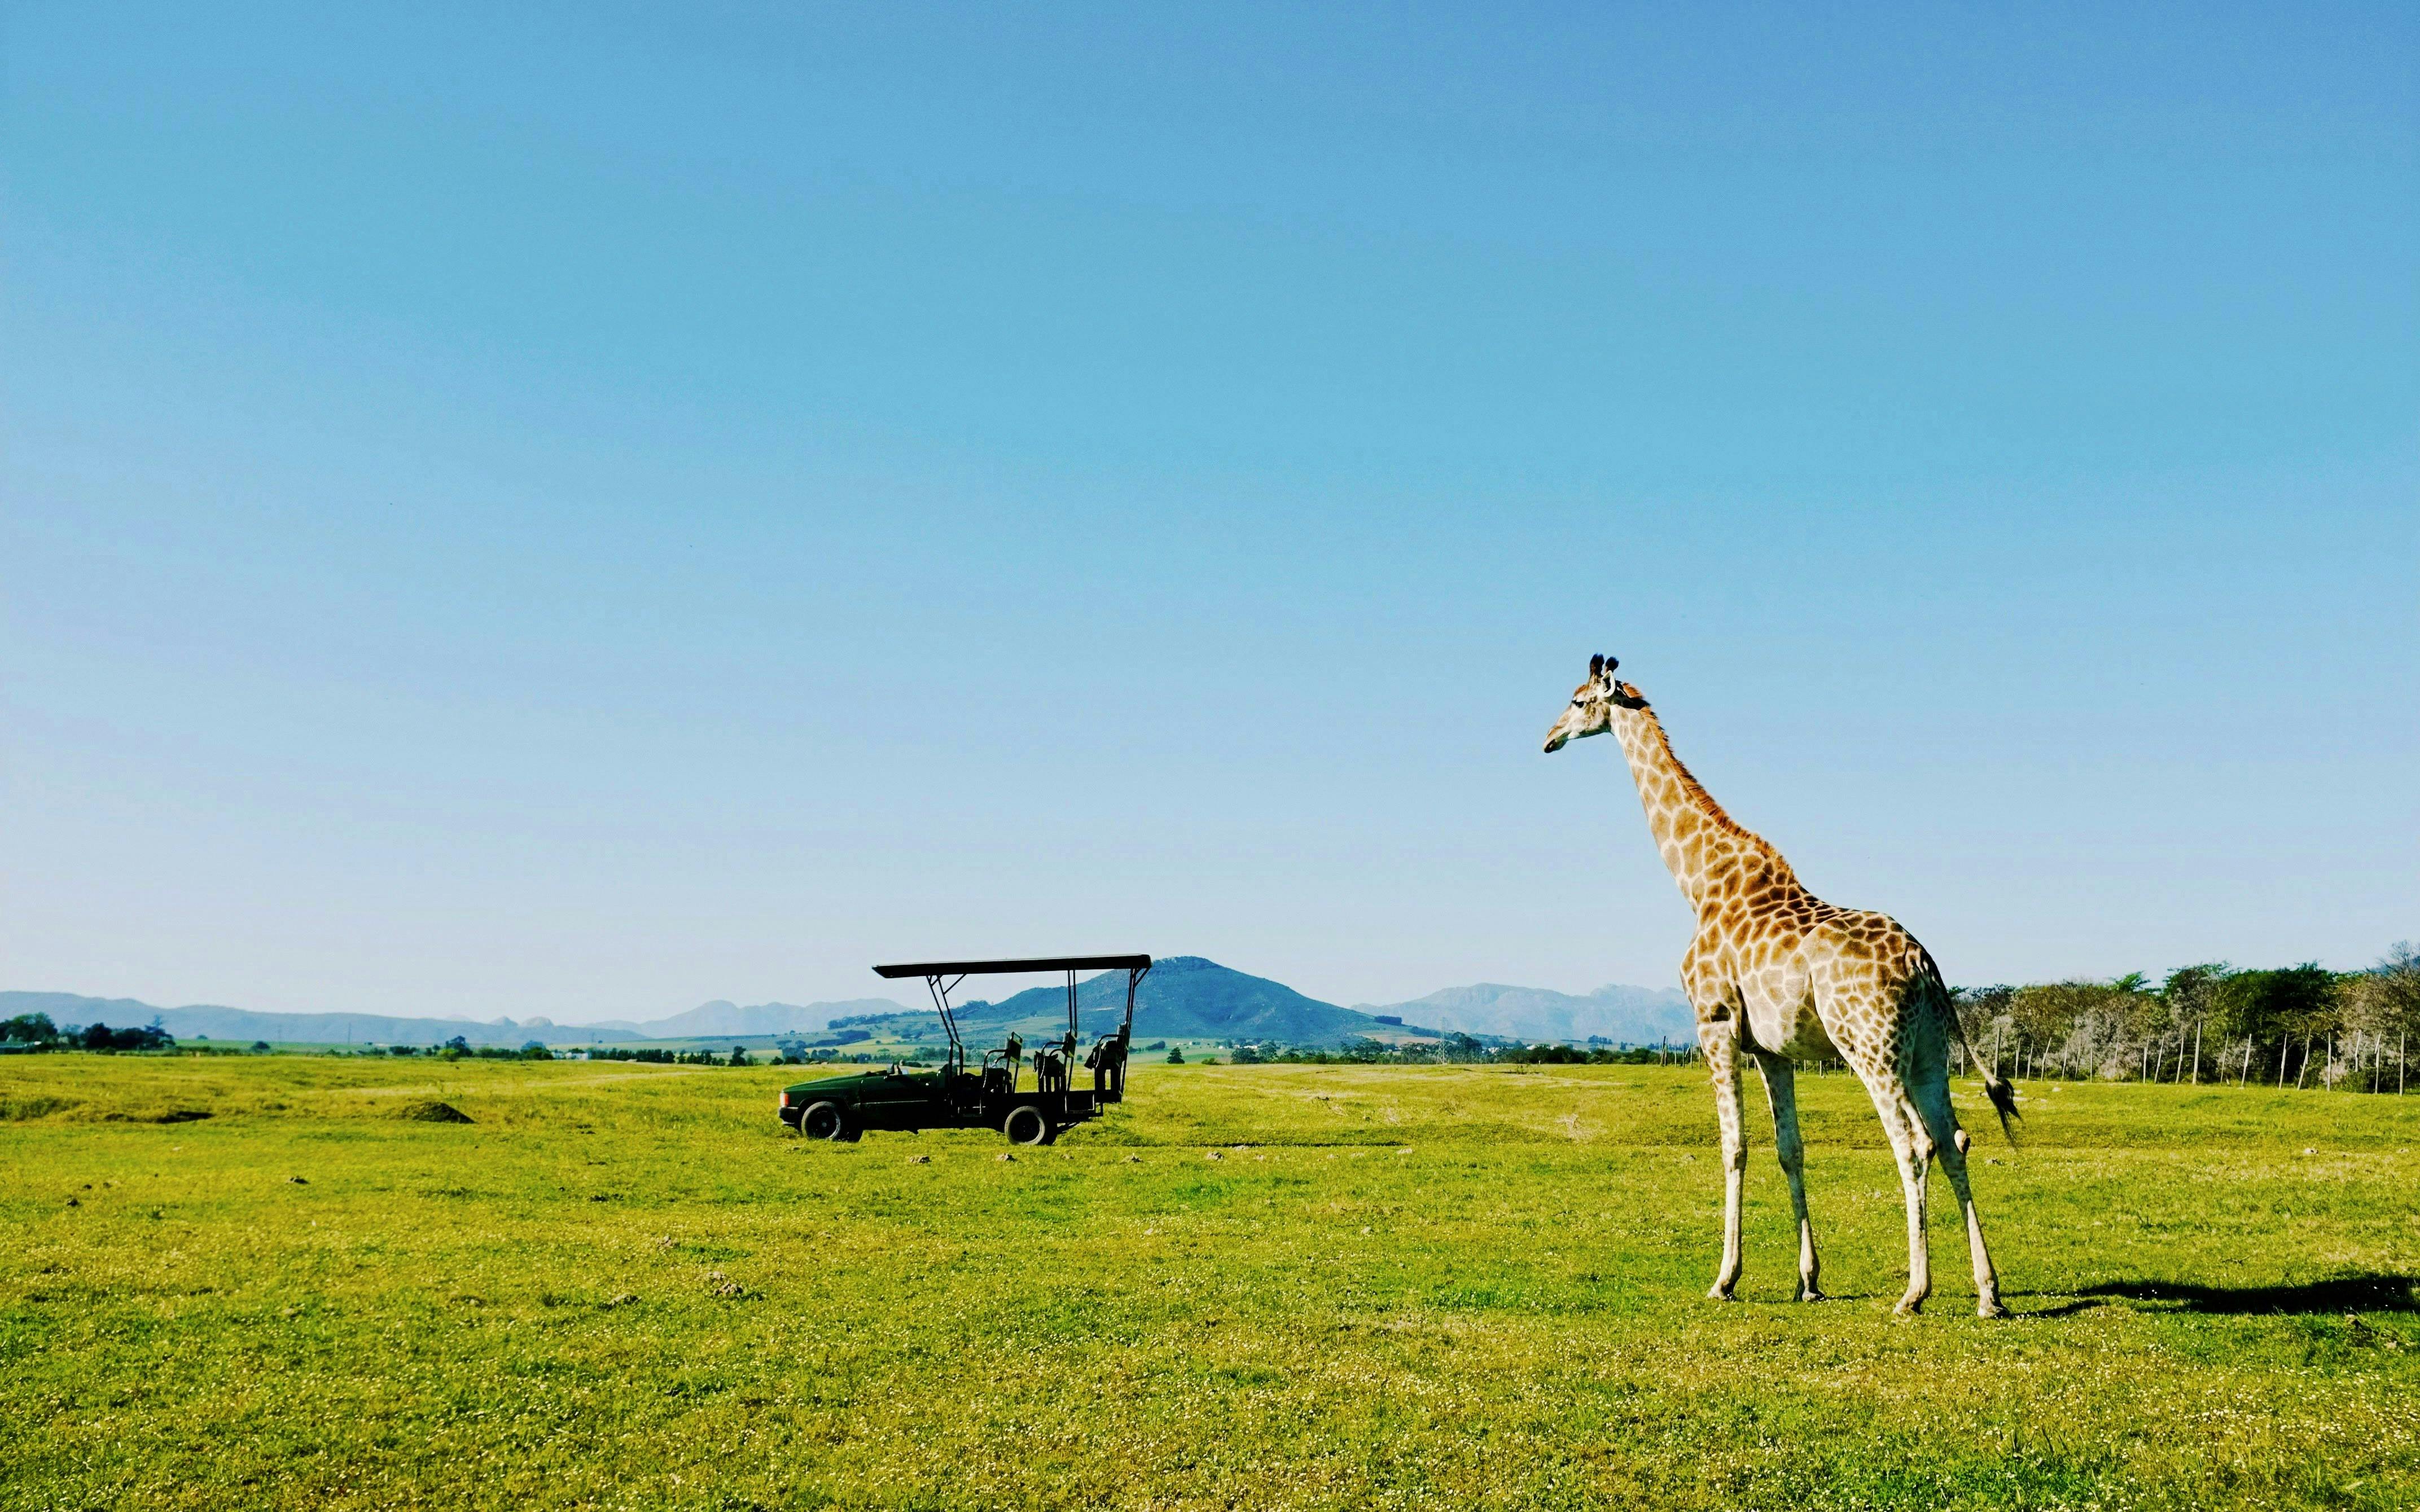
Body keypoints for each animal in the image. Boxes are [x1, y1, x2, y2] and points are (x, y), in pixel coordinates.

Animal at [1543, 654, 2018, 1317]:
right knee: (1954, 1138)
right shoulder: (1773, 1049)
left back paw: (1914, 1292)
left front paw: (1724, 1278)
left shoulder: (1714, 1023)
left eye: (1578, 700)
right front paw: (1809, 1280)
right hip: (1927, 1054)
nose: (1549, 738)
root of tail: (1926, 964)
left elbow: (1734, 1147)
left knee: (1912, 1144)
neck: (1699, 884)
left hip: (1871, 1048)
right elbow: (1791, 1148)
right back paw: (1988, 1292)